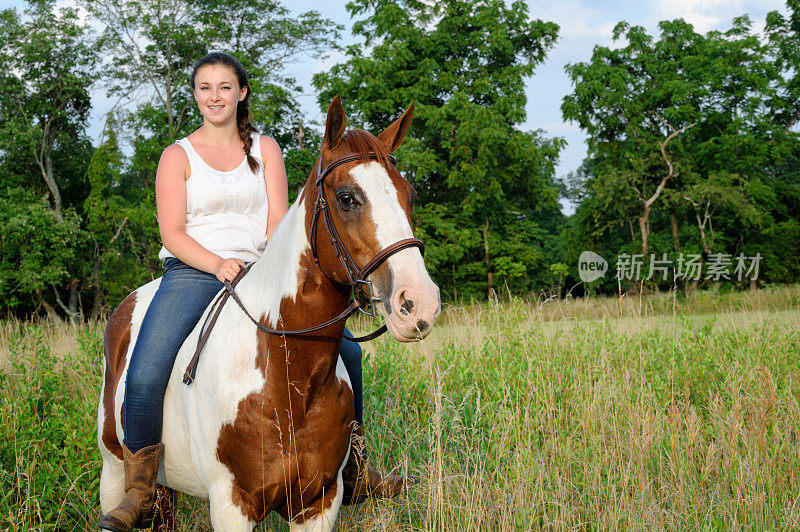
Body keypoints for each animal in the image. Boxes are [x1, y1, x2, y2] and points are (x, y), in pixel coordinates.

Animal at [98, 96, 444, 532]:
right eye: (347, 197)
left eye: (409, 194)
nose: (419, 303)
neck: (289, 375)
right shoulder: (232, 506)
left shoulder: (318, 502)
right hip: (113, 471)